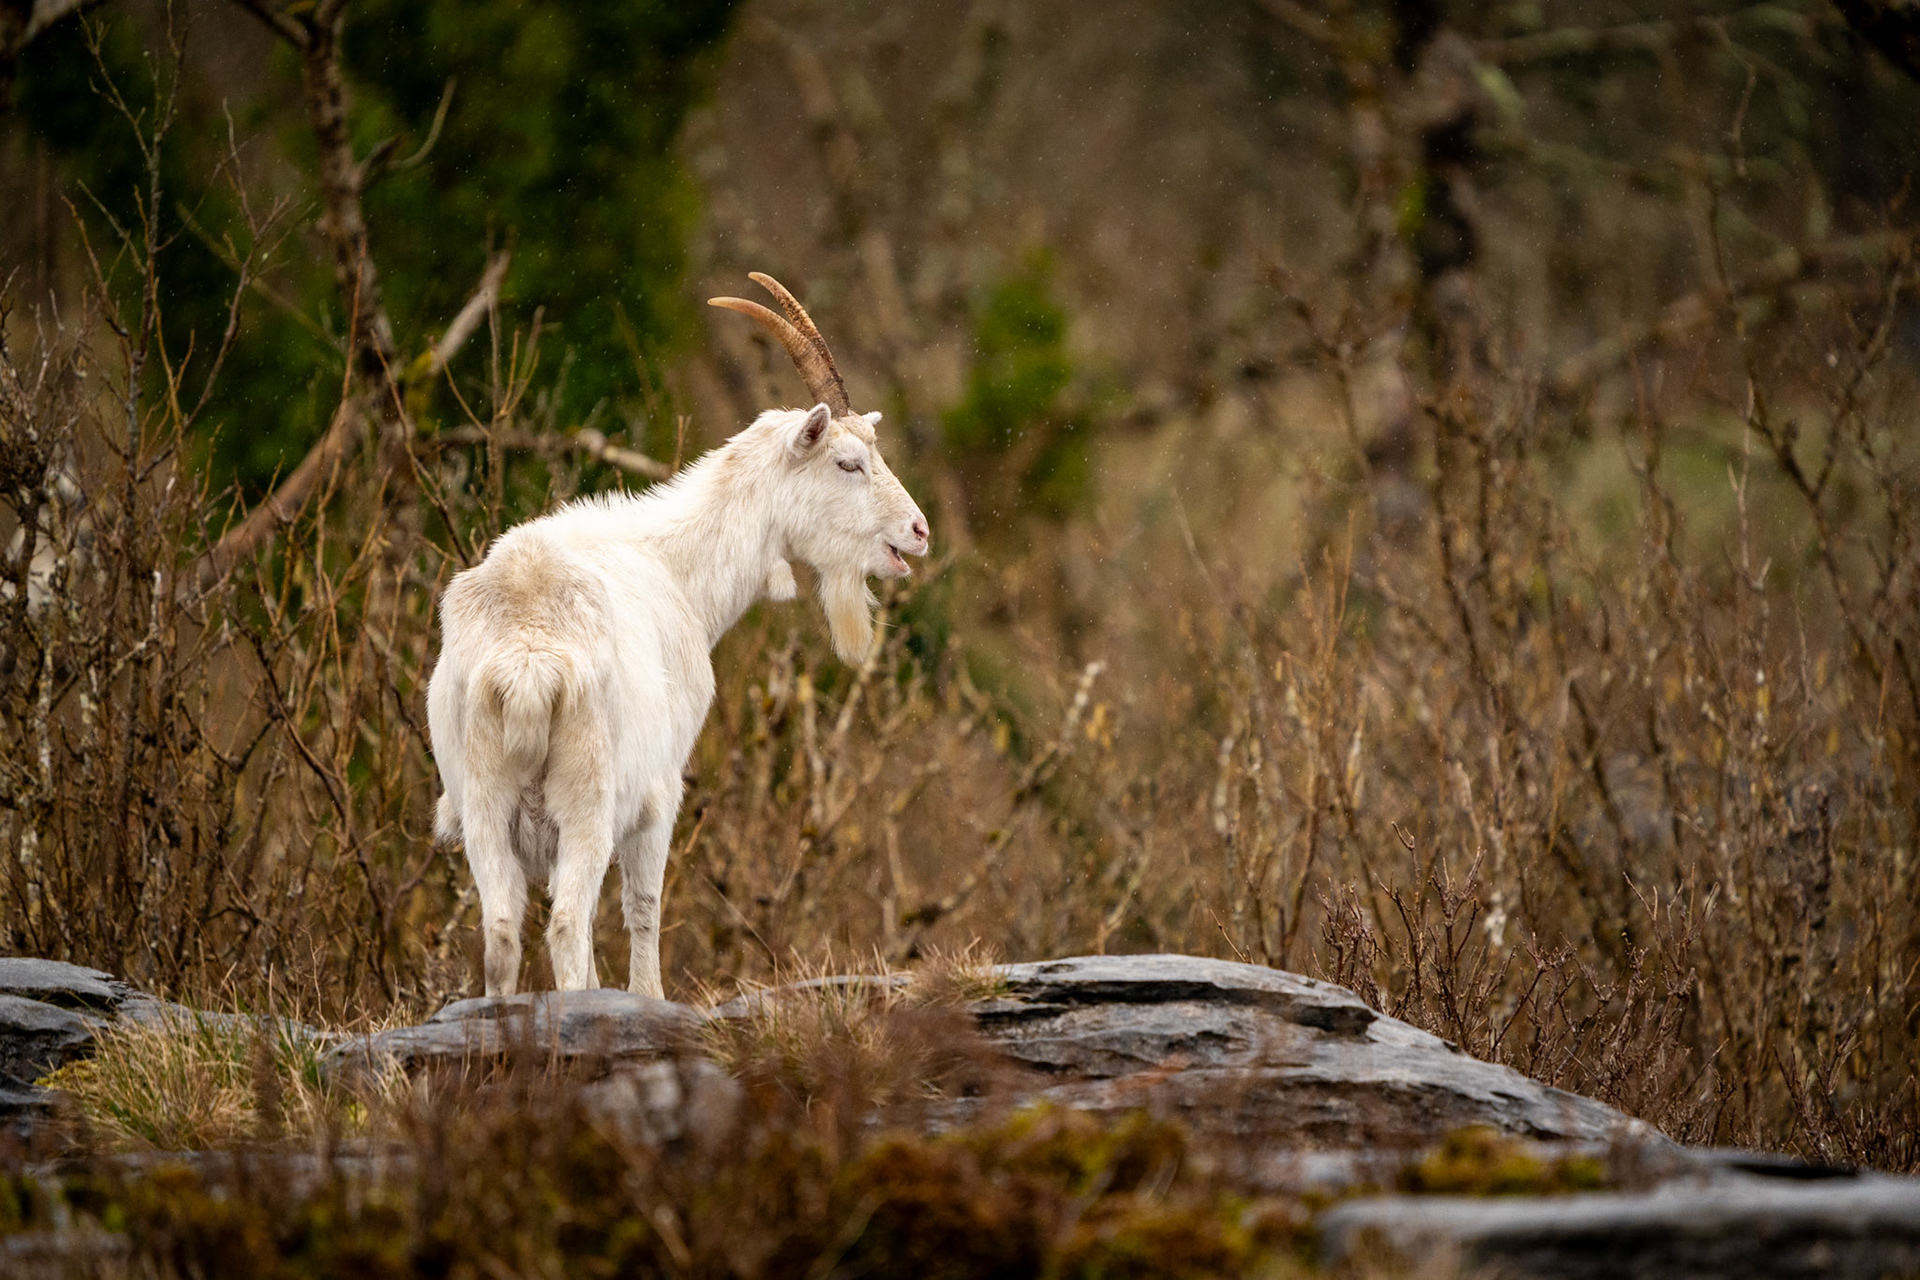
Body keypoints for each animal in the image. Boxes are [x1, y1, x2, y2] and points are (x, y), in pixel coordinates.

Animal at [427, 274, 930, 998]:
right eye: (848, 462)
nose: (918, 532)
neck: (672, 564)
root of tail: (526, 658)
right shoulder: (658, 795)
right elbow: (644, 909)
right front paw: (649, 999)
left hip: (483, 806)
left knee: (500, 934)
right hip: (585, 802)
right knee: (568, 926)